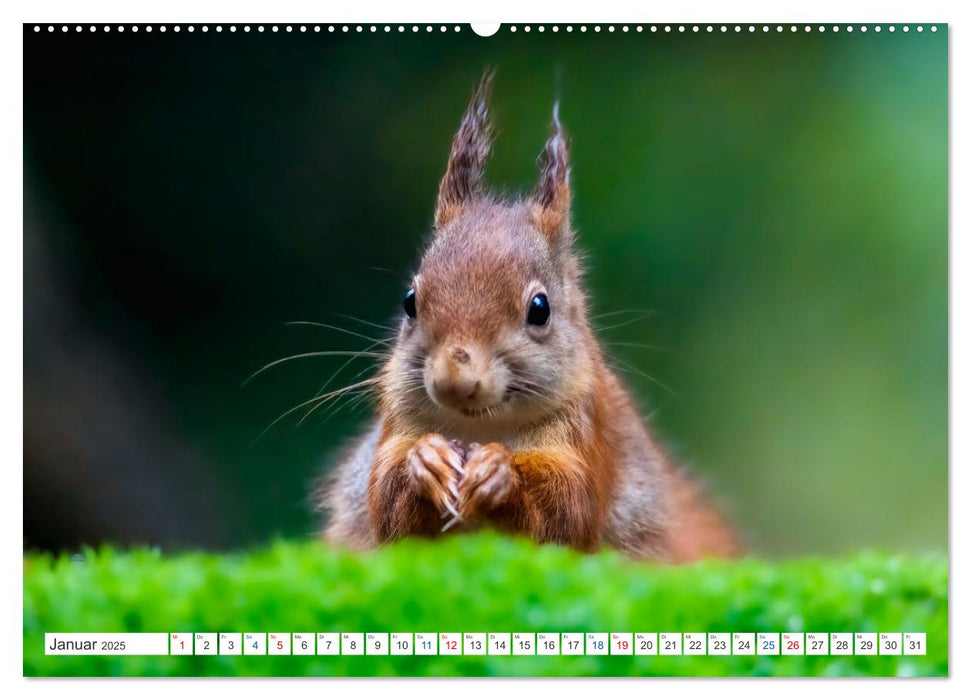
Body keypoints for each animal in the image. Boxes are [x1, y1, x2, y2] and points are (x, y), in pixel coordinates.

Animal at [318, 74, 736, 560]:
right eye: (410, 301)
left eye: (540, 309)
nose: (453, 382)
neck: (481, 425)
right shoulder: (396, 428)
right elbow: (387, 504)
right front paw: (427, 462)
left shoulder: (585, 432)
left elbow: (568, 510)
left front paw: (500, 472)